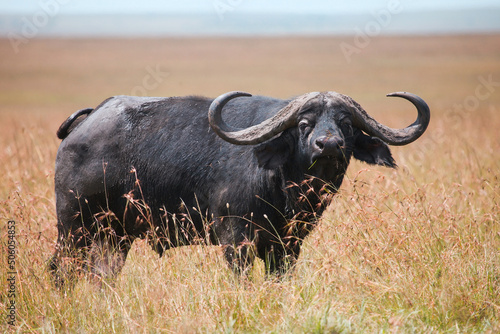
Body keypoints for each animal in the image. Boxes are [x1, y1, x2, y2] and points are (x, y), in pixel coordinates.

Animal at [49, 90, 430, 284]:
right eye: (304, 124)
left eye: (347, 124)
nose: (329, 145)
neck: (284, 187)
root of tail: (86, 124)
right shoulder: (235, 238)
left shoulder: (288, 244)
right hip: (74, 226)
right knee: (59, 269)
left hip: (114, 235)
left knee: (102, 274)